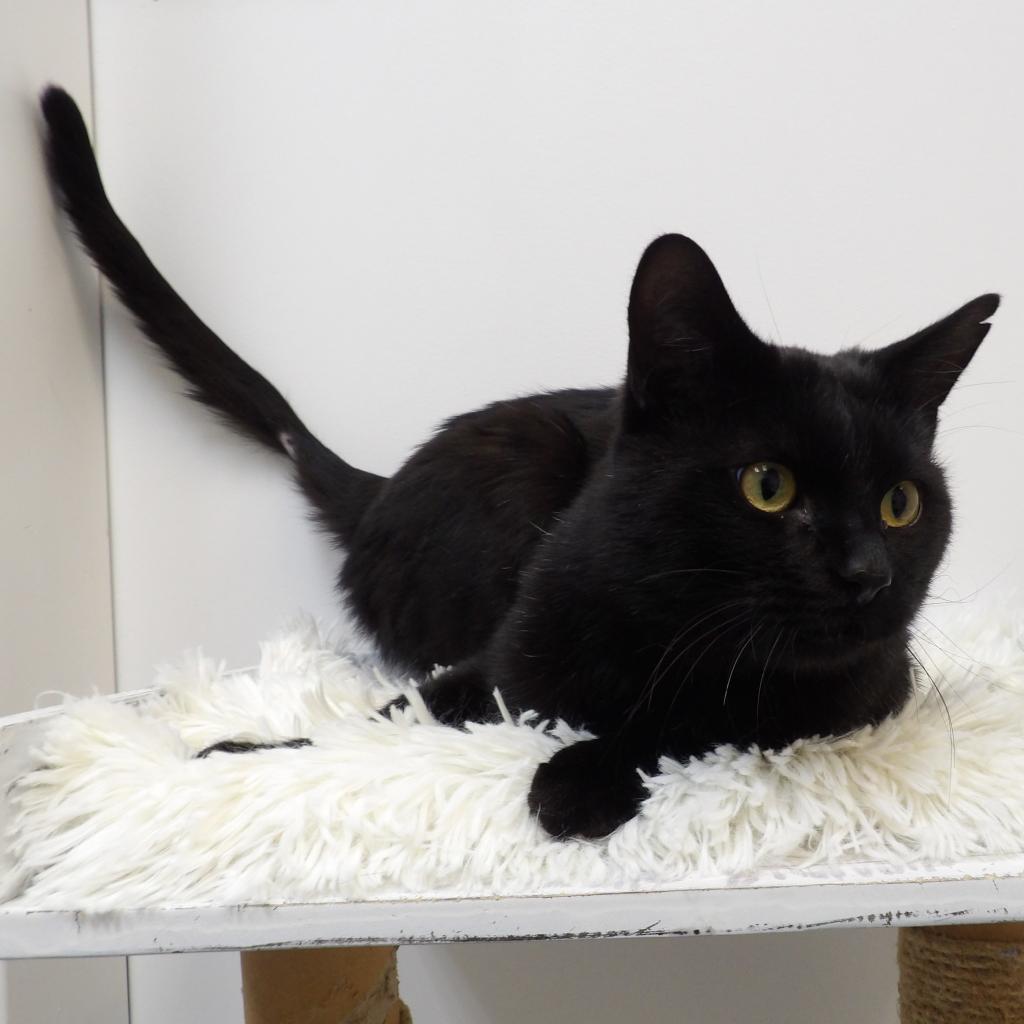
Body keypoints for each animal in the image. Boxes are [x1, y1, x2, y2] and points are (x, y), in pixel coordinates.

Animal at [44, 88, 995, 839]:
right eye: (770, 486)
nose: (868, 573)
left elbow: (693, 722)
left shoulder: (853, 697)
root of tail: (380, 493)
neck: (657, 623)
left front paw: (578, 776)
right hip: (524, 464)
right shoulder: (499, 662)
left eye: (903, 503)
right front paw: (247, 753)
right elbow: (387, 718)